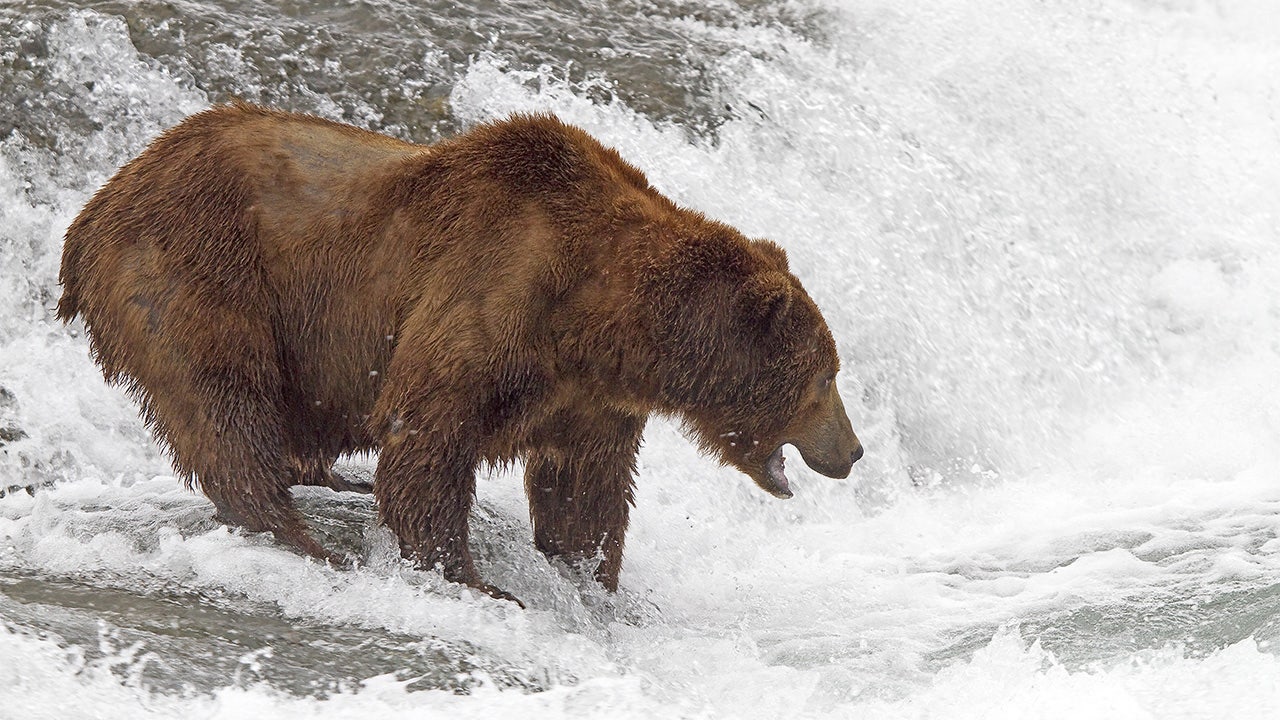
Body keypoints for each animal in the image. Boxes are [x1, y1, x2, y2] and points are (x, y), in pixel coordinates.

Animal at [57, 101, 860, 602]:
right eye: (825, 377)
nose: (852, 451)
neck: (601, 317)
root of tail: (96, 205)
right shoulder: (492, 287)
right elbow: (429, 437)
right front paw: (481, 580)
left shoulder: (588, 394)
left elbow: (587, 483)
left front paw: (588, 576)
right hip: (200, 268)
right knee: (223, 398)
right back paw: (301, 534)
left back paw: (330, 481)